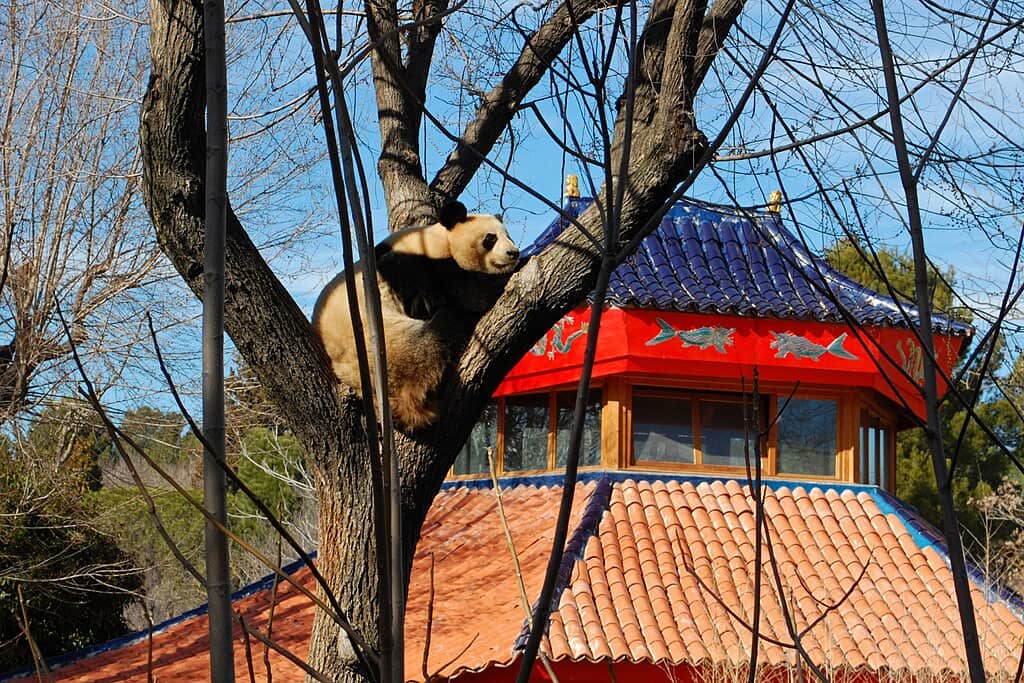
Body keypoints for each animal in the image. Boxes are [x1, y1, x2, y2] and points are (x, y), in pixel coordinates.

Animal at [312, 201, 520, 430]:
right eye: (490, 238)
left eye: (509, 236)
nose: (514, 253)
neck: (437, 239)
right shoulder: (413, 266)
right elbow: (464, 293)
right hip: (393, 353)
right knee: (439, 332)